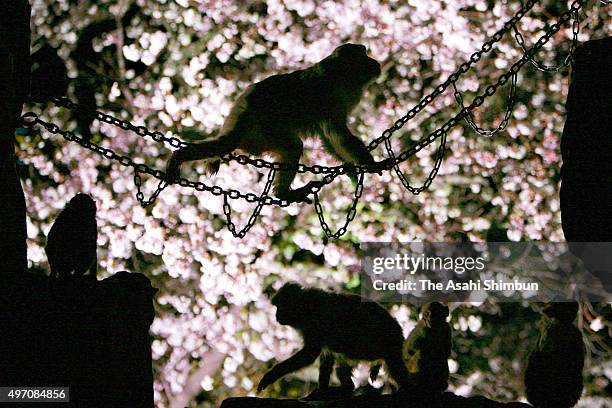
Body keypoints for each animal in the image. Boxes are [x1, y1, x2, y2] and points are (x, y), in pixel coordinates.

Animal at [166, 43, 388, 203]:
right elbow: (337, 132)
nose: (374, 61)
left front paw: (349, 167)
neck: (343, 74)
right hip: (261, 125)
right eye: (364, 55)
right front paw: (371, 164)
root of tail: (243, 102)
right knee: (286, 145)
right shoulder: (330, 93)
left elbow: (327, 136)